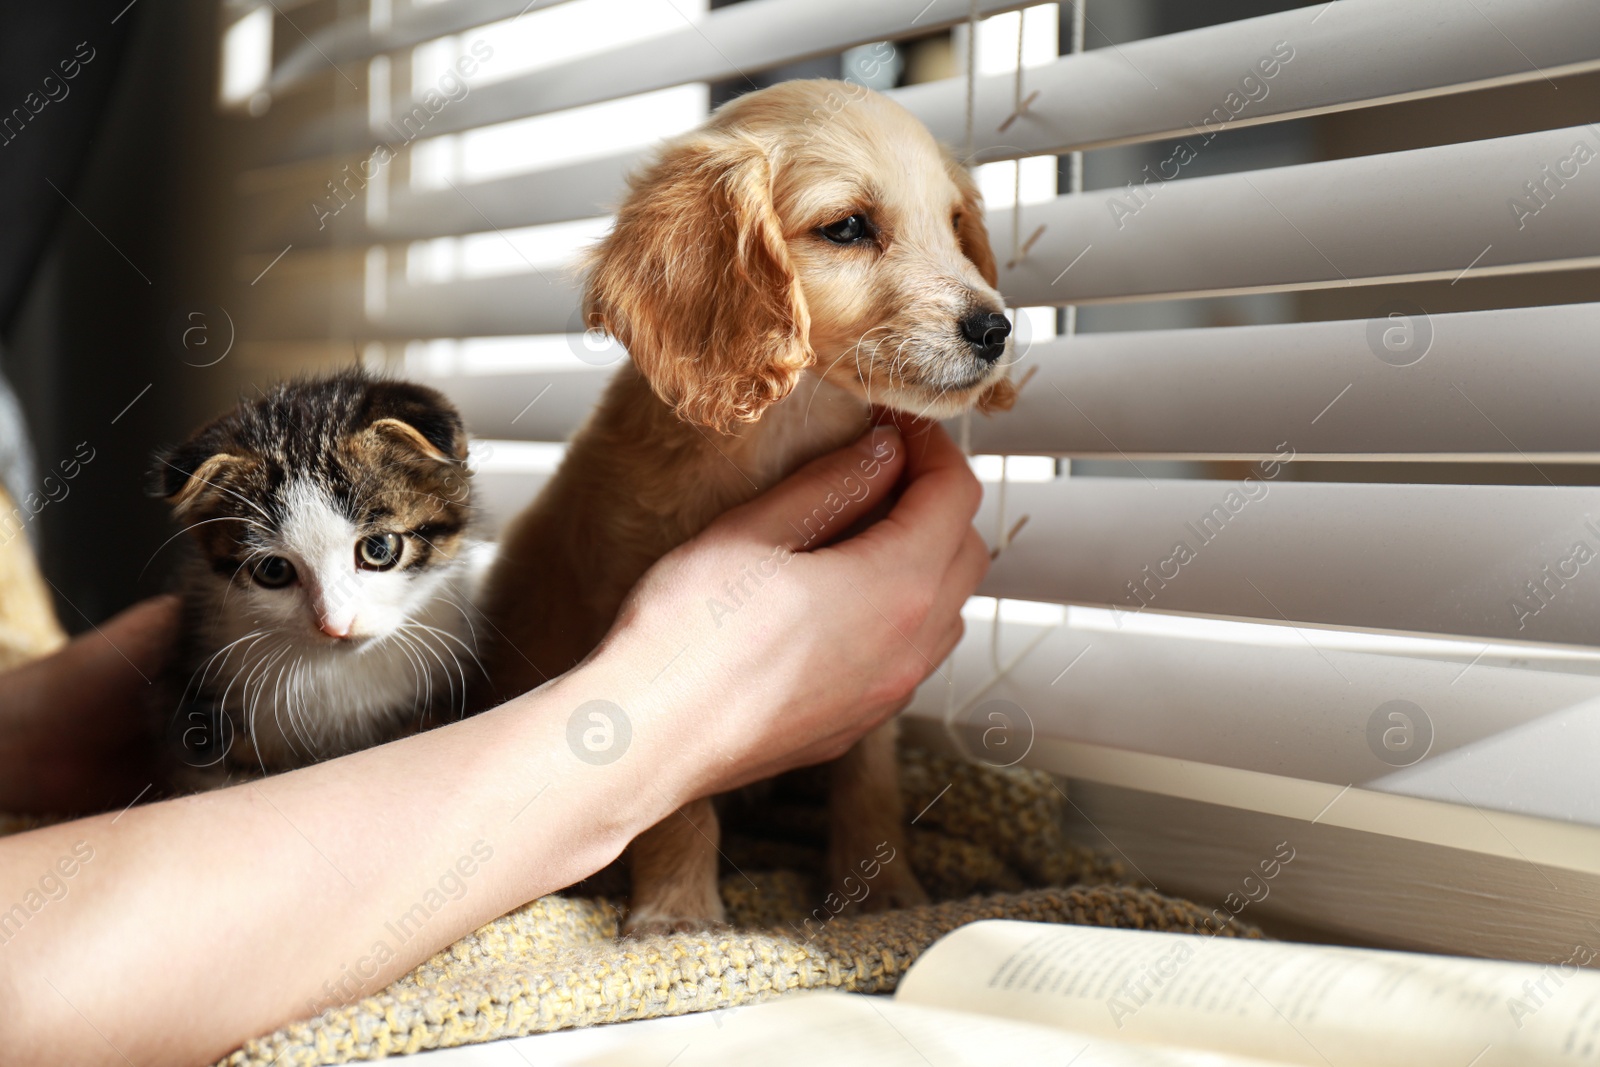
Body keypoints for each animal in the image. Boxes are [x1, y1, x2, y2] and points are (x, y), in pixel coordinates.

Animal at [480, 79, 1017, 934]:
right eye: (847, 227)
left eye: (957, 226)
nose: (996, 328)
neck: (791, 430)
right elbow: (677, 797)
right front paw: (677, 909)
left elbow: (869, 775)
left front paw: (881, 893)